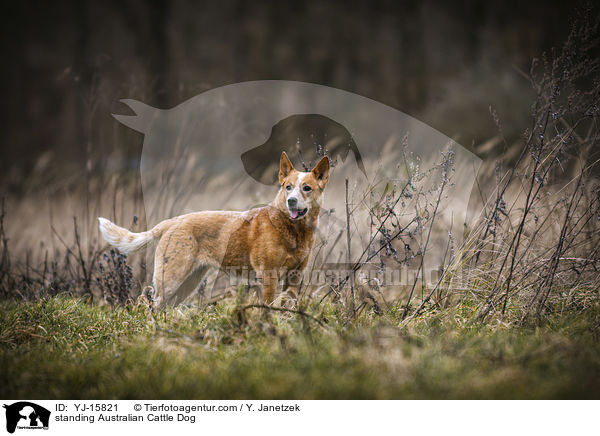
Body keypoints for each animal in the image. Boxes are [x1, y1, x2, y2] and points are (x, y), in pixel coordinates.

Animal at [99, 152, 332, 306]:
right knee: (147, 301)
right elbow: (267, 306)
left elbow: (288, 302)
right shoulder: (268, 275)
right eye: (288, 187)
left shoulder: (295, 276)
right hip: (171, 279)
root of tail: (172, 222)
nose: (291, 201)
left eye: (307, 188)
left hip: (189, 282)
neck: (293, 230)